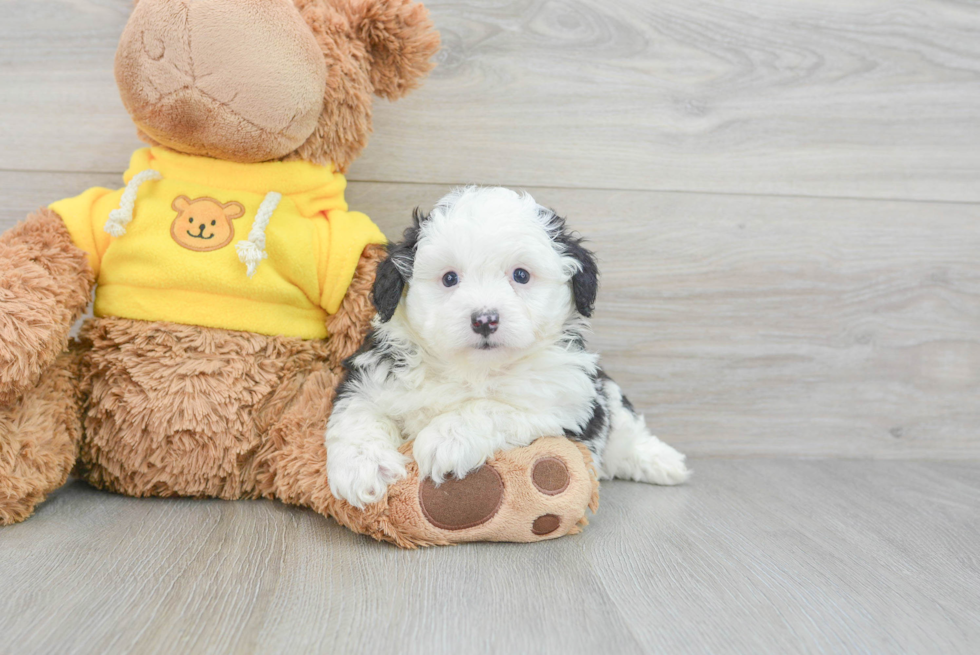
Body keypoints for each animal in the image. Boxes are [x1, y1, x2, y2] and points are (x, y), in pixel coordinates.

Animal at [324, 187, 688, 510]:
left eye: (521, 275)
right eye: (450, 278)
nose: (485, 320)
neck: (473, 369)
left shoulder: (563, 404)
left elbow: (492, 407)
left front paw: (447, 438)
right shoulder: (371, 375)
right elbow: (356, 413)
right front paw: (363, 467)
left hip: (604, 392)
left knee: (625, 428)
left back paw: (662, 462)